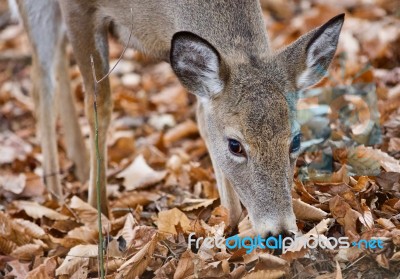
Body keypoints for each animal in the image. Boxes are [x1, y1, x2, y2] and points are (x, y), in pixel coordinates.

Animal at [12, 0, 344, 236]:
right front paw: (98, 214)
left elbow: (201, 115)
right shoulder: (77, 7)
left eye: (296, 140)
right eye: (235, 145)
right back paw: (55, 193)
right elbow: (99, 103)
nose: (281, 232)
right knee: (41, 79)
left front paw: (231, 220)